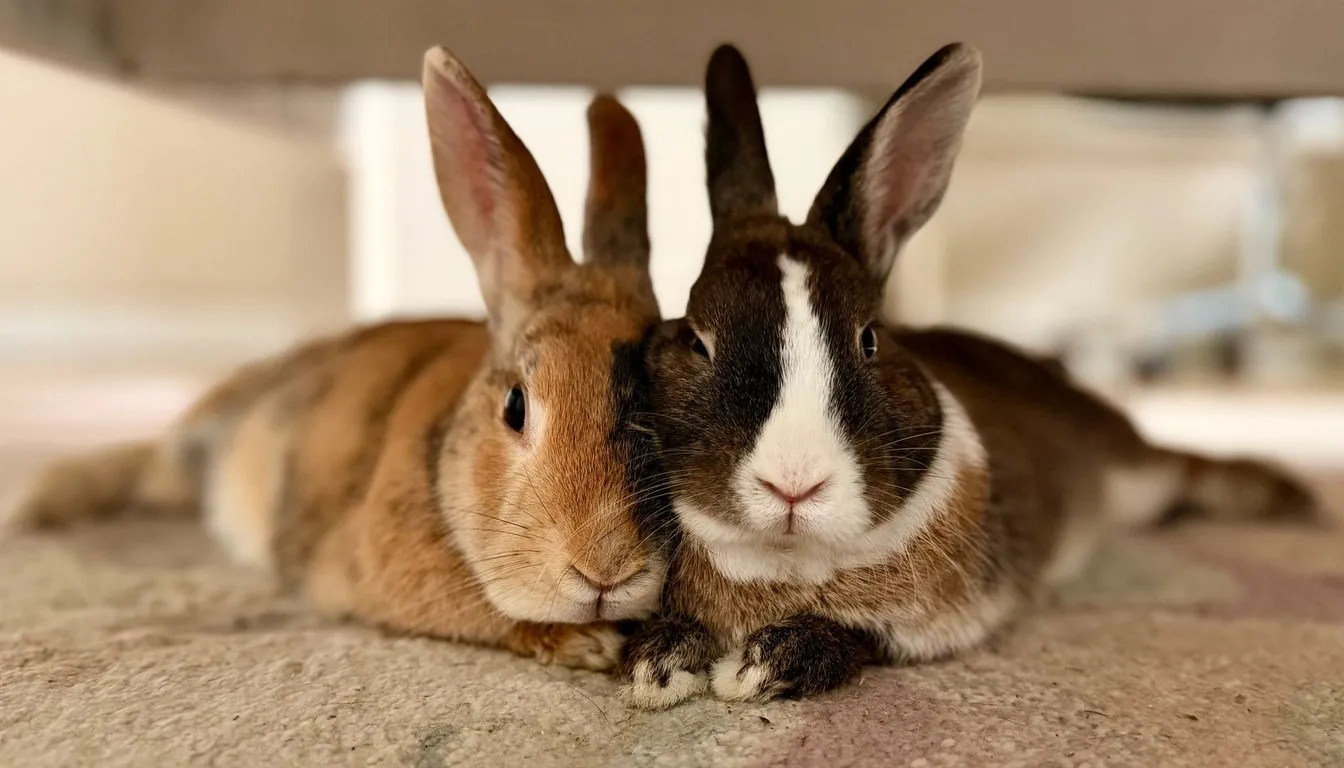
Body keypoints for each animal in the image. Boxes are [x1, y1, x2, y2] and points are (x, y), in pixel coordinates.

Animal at [617, 42, 1321, 709]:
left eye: (869, 340)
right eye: (698, 339)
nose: (794, 485)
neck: (787, 561)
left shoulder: (935, 622)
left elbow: (857, 638)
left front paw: (759, 668)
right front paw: (657, 667)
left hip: (1135, 476)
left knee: (1180, 471)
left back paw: (1288, 499)